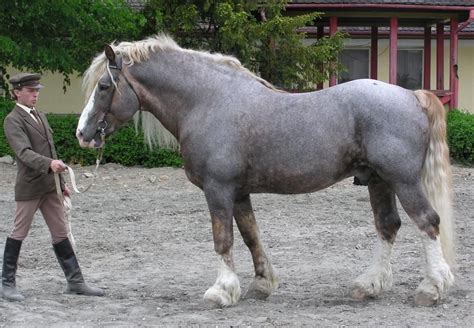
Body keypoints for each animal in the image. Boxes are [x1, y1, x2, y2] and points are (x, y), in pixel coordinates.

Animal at [77, 35, 456, 308]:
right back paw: (369, 285)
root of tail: (412, 95)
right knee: (387, 226)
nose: (82, 133)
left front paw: (221, 291)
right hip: (377, 180)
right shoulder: (239, 192)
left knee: (427, 222)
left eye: (104, 87)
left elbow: (223, 239)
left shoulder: (217, 189)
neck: (207, 101)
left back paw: (431, 288)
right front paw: (261, 284)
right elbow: (250, 236)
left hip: (403, 181)